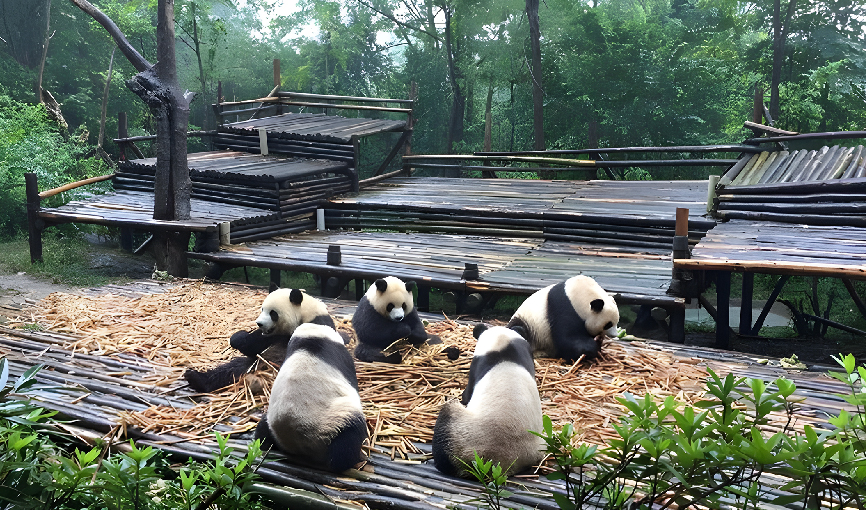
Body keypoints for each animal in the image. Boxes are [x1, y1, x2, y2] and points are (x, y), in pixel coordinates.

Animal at [184, 288, 336, 392]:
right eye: (262, 309)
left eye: (273, 313)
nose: (259, 323)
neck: (305, 312)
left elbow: (252, 344)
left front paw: (237, 337)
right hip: (254, 364)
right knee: (230, 369)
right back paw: (196, 378)